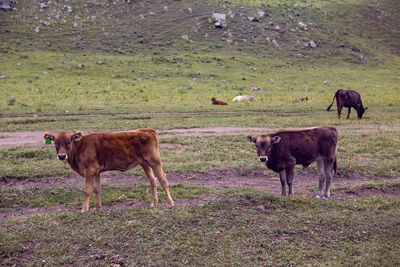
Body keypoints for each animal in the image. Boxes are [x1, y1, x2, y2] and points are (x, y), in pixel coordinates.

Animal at [43, 129, 173, 213]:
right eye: (55, 141)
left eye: (69, 141)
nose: (61, 156)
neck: (80, 146)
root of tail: (147, 130)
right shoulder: (96, 171)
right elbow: (97, 188)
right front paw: (98, 208)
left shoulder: (90, 170)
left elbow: (87, 190)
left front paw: (84, 209)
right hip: (145, 163)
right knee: (153, 180)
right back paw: (154, 204)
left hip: (155, 161)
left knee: (163, 179)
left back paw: (170, 203)